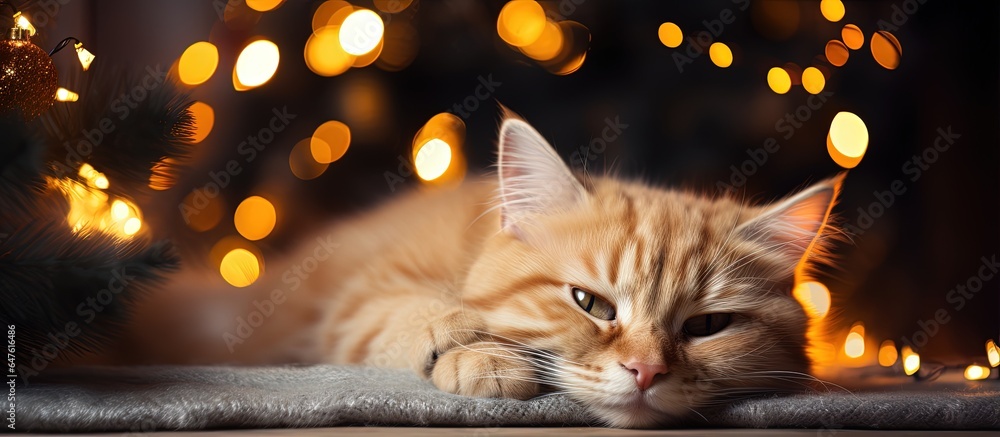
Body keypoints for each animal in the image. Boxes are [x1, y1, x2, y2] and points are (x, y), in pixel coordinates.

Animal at [125, 112, 844, 426]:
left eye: (708, 326)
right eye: (591, 303)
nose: (645, 372)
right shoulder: (355, 301)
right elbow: (416, 315)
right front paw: (482, 353)